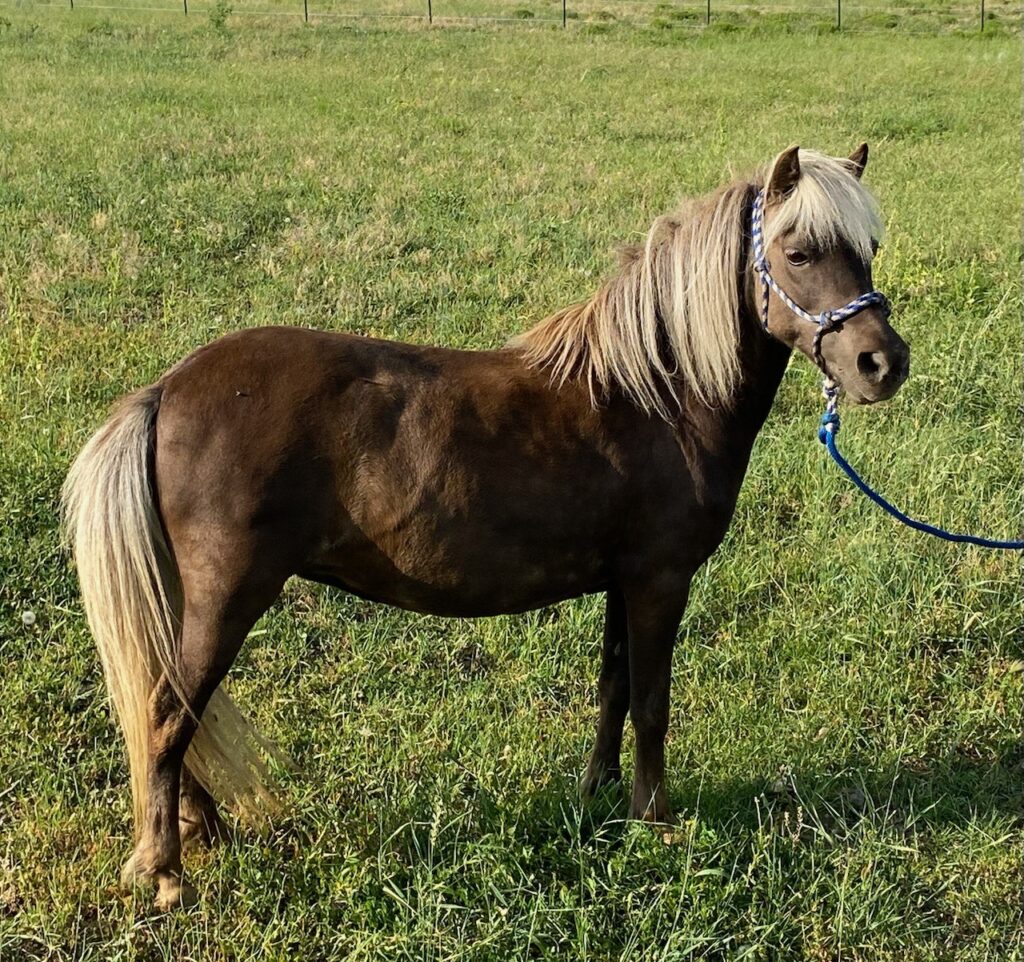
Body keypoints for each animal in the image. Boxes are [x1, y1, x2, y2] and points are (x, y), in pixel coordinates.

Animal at [63, 144, 910, 909]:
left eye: (868, 250)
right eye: (798, 252)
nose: (882, 363)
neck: (657, 397)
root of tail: (168, 390)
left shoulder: (623, 582)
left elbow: (613, 688)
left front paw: (601, 800)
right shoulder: (660, 581)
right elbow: (652, 701)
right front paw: (657, 822)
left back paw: (198, 832)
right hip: (226, 596)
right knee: (166, 713)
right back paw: (163, 870)